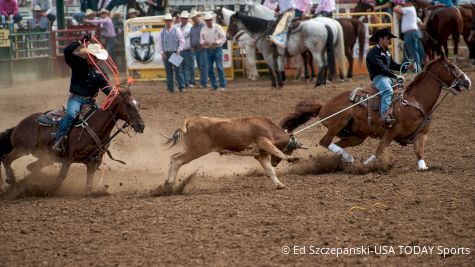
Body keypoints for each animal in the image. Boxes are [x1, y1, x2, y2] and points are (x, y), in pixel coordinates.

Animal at [0, 89, 145, 196]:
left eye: (138, 105)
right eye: (128, 105)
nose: (141, 126)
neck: (94, 127)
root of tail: (19, 125)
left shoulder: (93, 163)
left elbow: (88, 188)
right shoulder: (67, 159)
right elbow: (60, 178)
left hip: (44, 156)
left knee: (31, 166)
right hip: (22, 149)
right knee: (6, 159)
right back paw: (12, 181)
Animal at [280, 55, 470, 171]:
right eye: (451, 66)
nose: (467, 81)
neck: (415, 101)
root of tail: (323, 106)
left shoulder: (421, 134)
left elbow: (419, 153)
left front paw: (424, 167)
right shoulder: (391, 132)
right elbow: (379, 151)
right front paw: (366, 165)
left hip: (357, 136)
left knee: (337, 144)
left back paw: (345, 159)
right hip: (339, 122)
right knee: (325, 141)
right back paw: (348, 159)